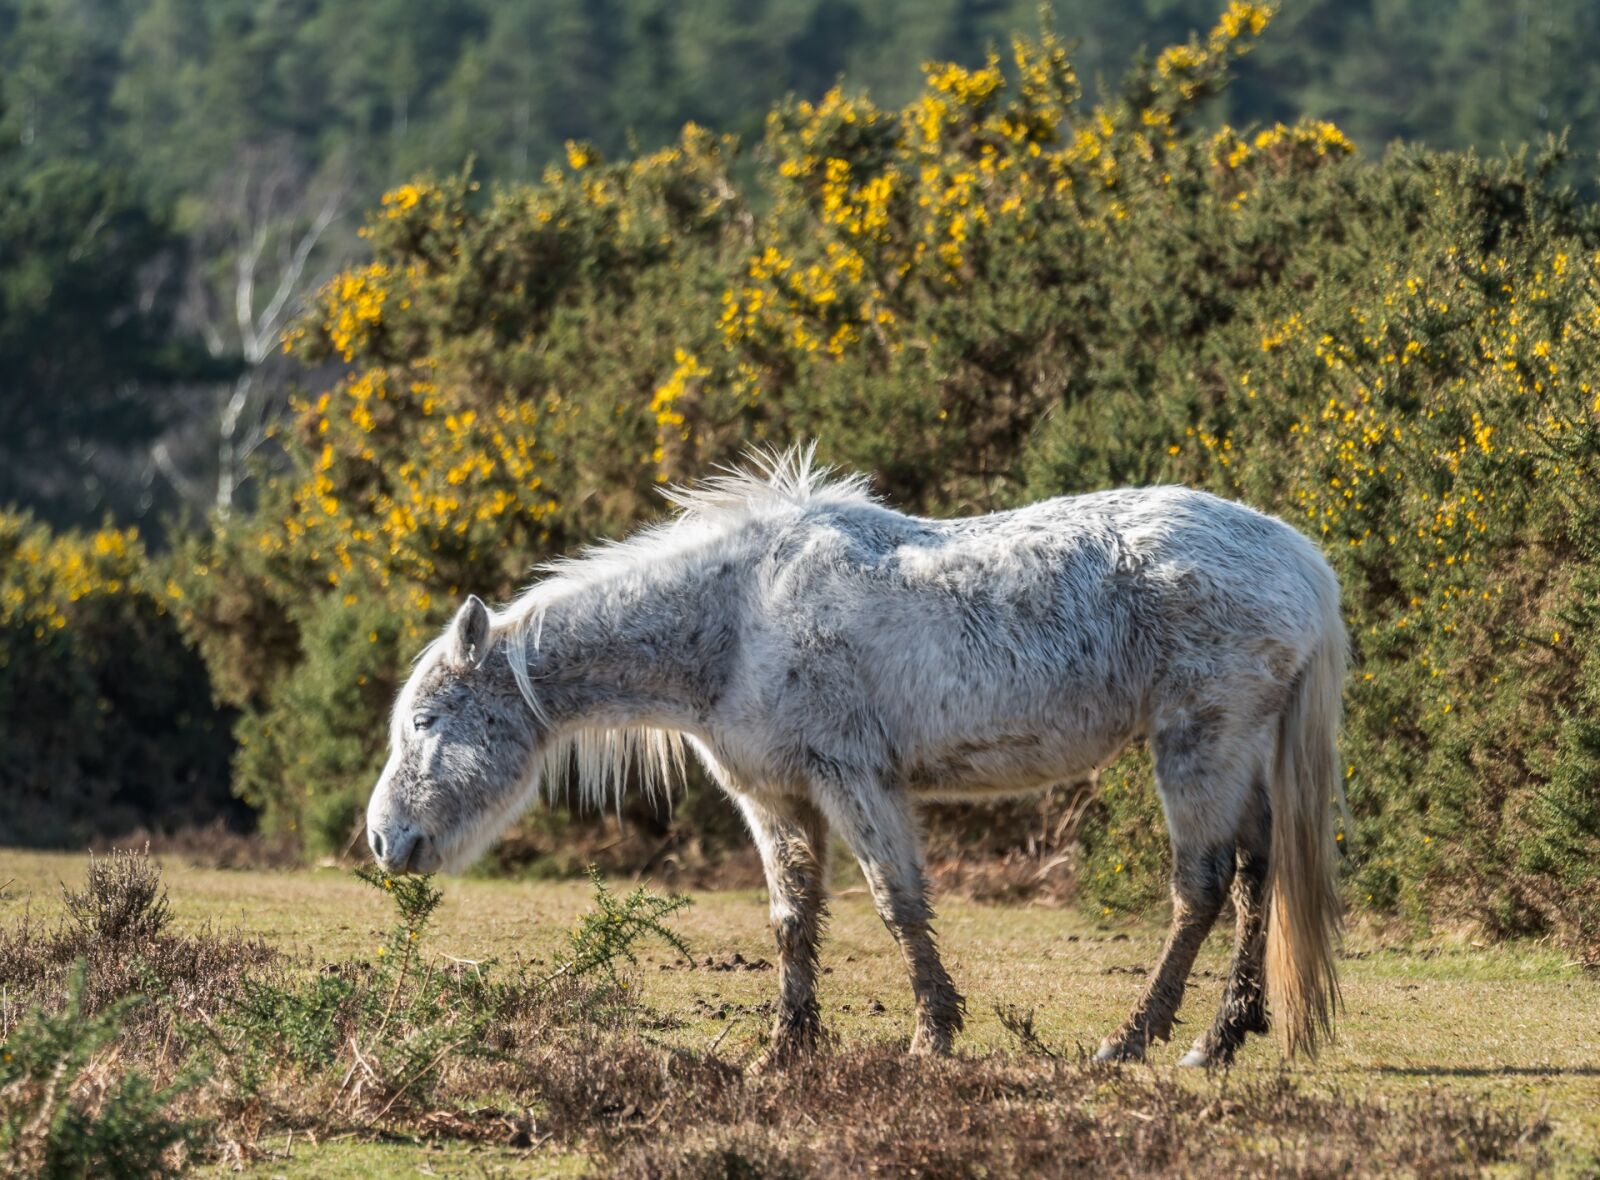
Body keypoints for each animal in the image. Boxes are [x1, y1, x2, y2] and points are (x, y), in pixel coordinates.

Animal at [368, 444, 1344, 1061]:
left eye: (426, 722)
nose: (384, 841)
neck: (735, 619)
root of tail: (1303, 562)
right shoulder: (774, 799)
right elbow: (792, 917)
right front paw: (785, 1048)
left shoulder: (854, 779)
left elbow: (896, 904)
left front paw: (931, 1035)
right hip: (1236, 749)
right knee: (1256, 873)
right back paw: (1223, 1037)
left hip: (1198, 743)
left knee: (1201, 887)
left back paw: (1136, 1041)